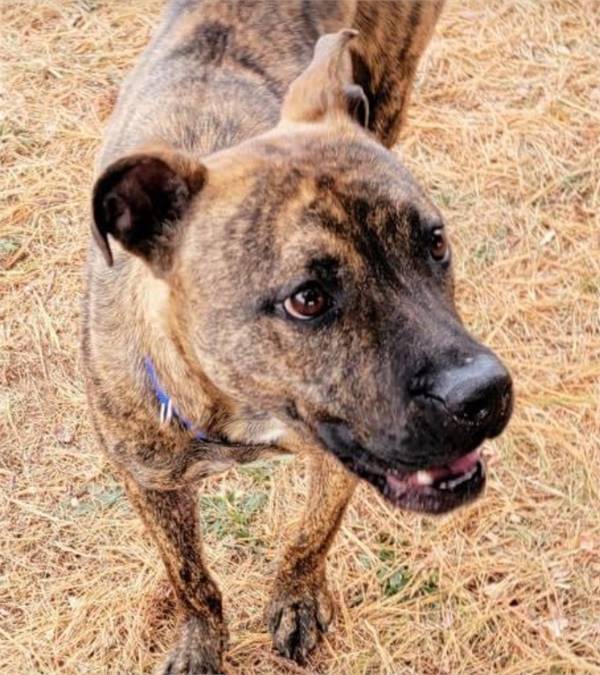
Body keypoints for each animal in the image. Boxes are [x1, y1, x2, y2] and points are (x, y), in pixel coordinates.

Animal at [82, 2, 510, 672]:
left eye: (435, 243)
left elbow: (313, 533)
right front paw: (200, 641)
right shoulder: (149, 481)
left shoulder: (339, 461)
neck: (237, 413)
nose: (484, 394)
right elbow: (189, 576)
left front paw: (298, 600)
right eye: (307, 300)